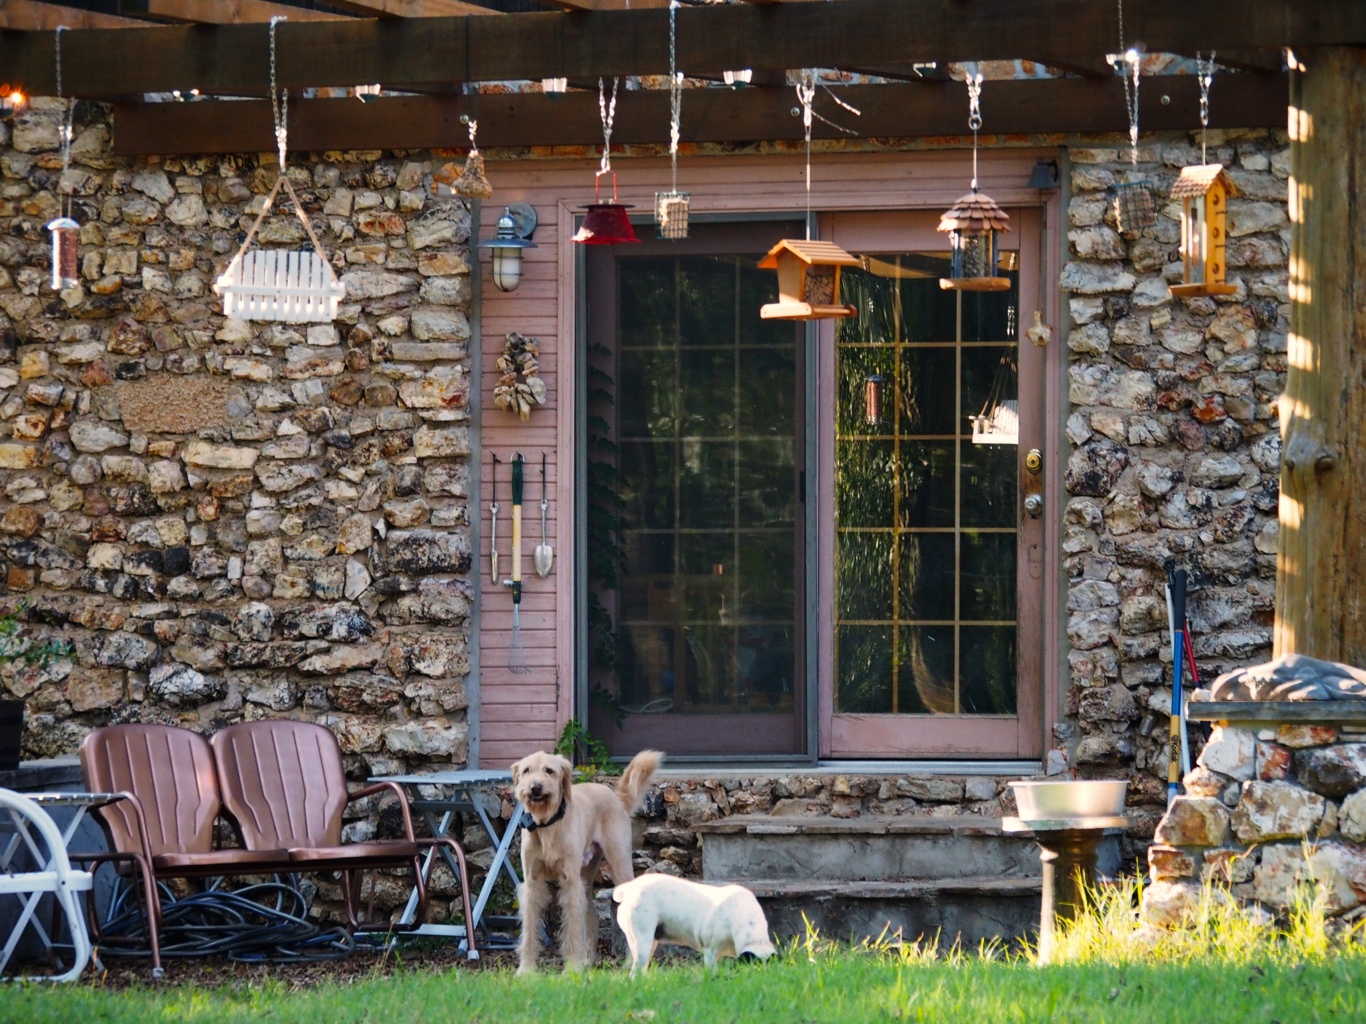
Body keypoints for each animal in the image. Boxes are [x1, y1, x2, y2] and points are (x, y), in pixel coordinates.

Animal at [511, 748, 663, 973]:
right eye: (526, 770)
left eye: (549, 770)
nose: (535, 788)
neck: (547, 825)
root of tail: (616, 799)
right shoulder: (532, 883)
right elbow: (530, 927)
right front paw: (526, 970)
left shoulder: (570, 882)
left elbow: (573, 927)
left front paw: (571, 969)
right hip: (587, 873)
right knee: (591, 915)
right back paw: (588, 960)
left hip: (619, 865)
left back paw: (633, 963)